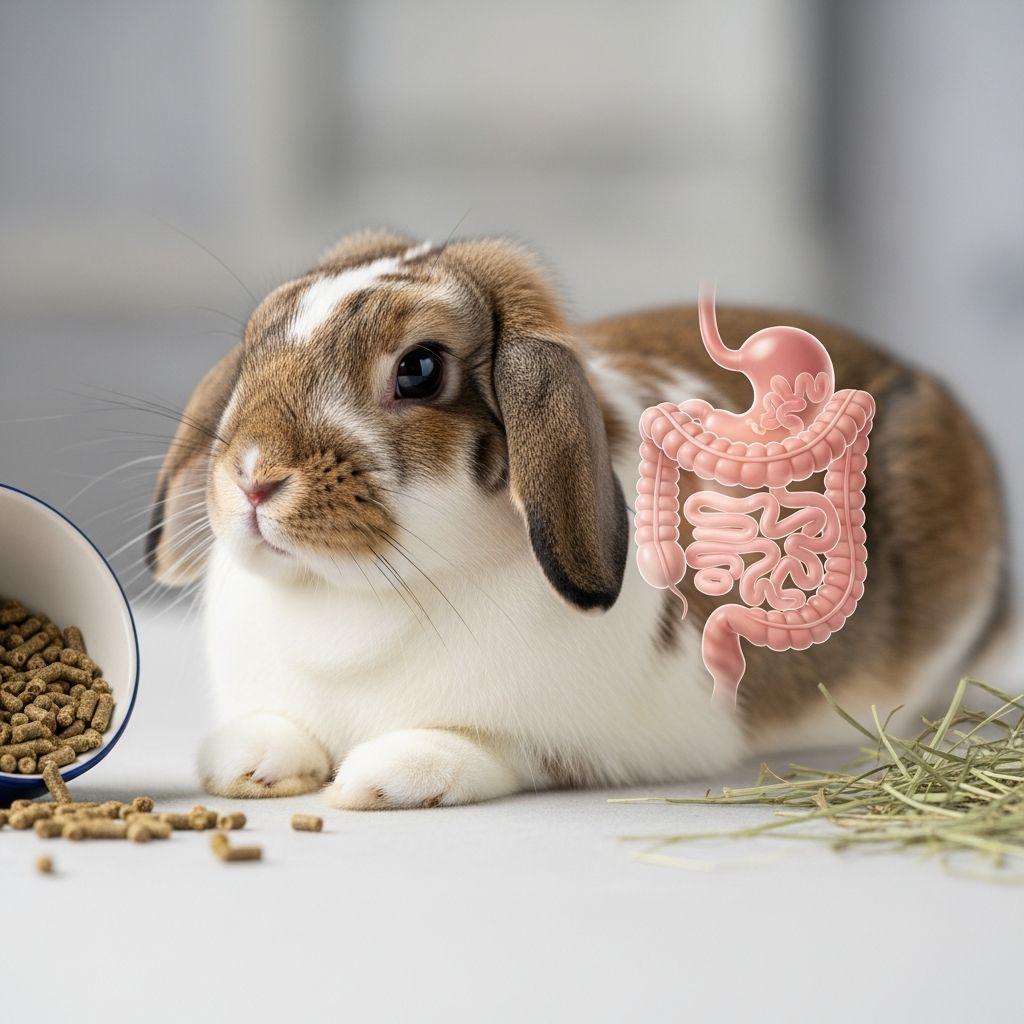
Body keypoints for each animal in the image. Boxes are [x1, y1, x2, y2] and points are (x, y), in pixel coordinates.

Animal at [147, 230, 1009, 809]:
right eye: (257, 343)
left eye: (419, 369)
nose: (255, 479)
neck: (352, 600)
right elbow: (276, 726)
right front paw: (249, 762)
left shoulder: (577, 736)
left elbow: (488, 746)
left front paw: (385, 778)